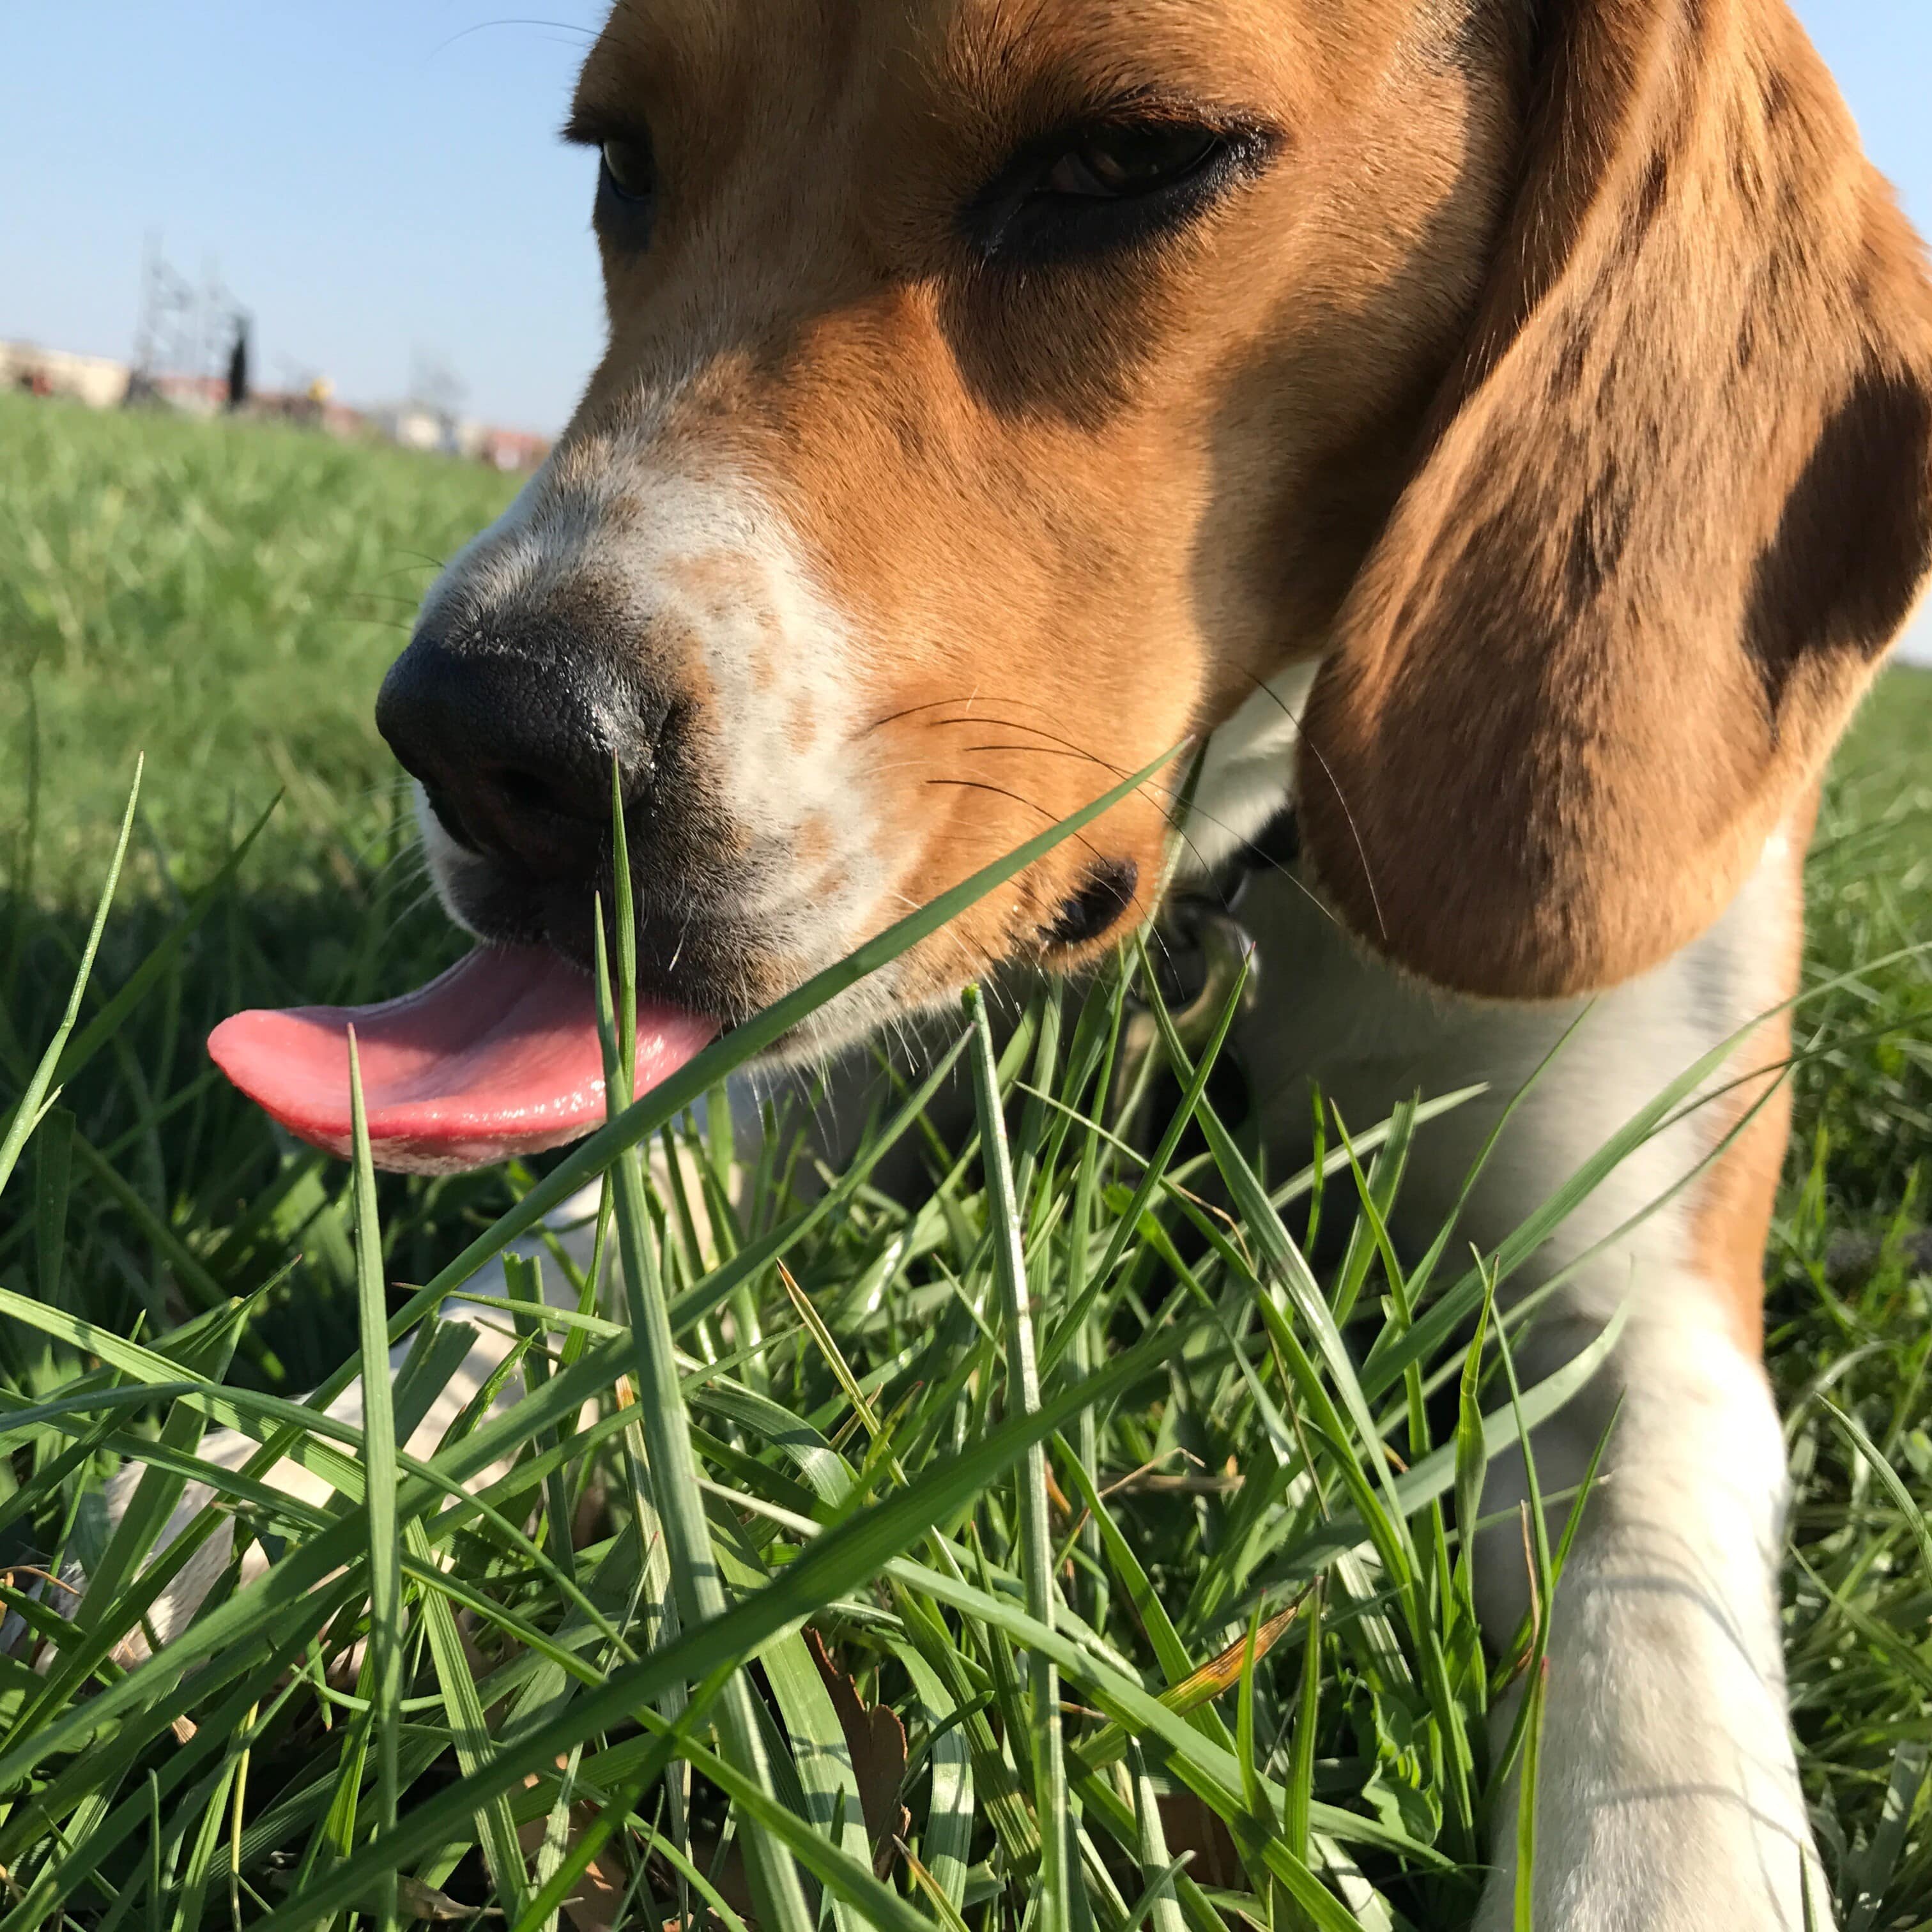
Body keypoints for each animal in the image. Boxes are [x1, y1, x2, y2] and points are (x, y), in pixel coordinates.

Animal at [188, 0, 1924, 1924]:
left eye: (1126, 160)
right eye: (624, 161)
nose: (482, 739)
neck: (1244, 873)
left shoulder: (1637, 1301)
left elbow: (1663, 1635)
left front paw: (1672, 1863)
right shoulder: (776, 1092)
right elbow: (555, 1257)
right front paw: (280, 1478)